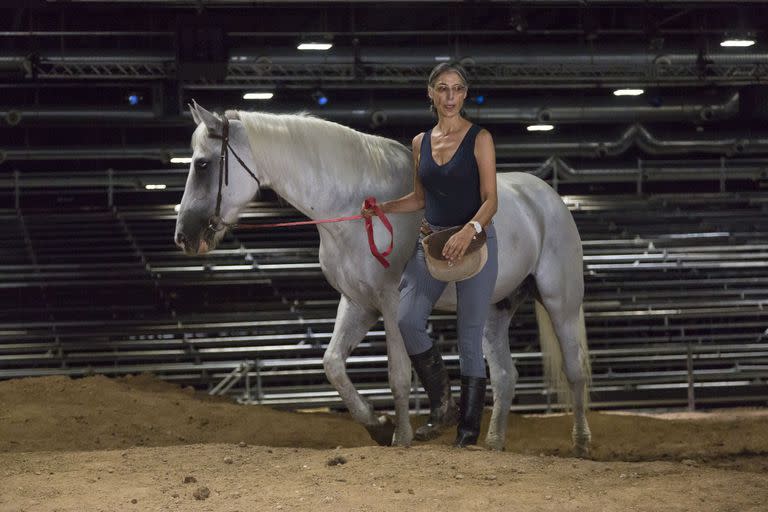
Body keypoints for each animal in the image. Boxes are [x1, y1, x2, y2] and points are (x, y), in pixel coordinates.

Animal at [176, 103, 592, 456]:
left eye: (202, 164)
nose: (184, 236)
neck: (353, 207)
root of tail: (548, 198)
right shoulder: (358, 303)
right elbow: (333, 364)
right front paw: (378, 424)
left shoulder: (391, 301)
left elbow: (398, 373)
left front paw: (402, 436)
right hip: (493, 309)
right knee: (506, 375)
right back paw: (492, 444)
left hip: (561, 304)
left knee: (574, 370)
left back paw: (581, 444)